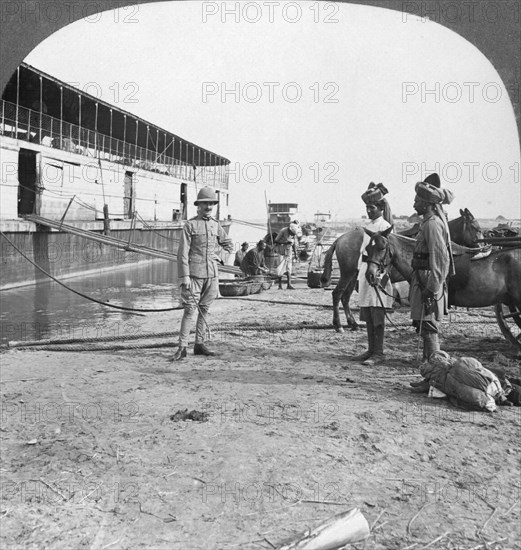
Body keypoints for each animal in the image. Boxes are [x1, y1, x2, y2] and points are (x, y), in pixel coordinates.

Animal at [320, 210, 484, 332]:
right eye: (476, 227)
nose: (481, 247)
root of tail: (339, 239)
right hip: (347, 274)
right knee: (337, 294)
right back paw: (338, 325)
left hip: (353, 275)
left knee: (345, 297)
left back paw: (352, 323)